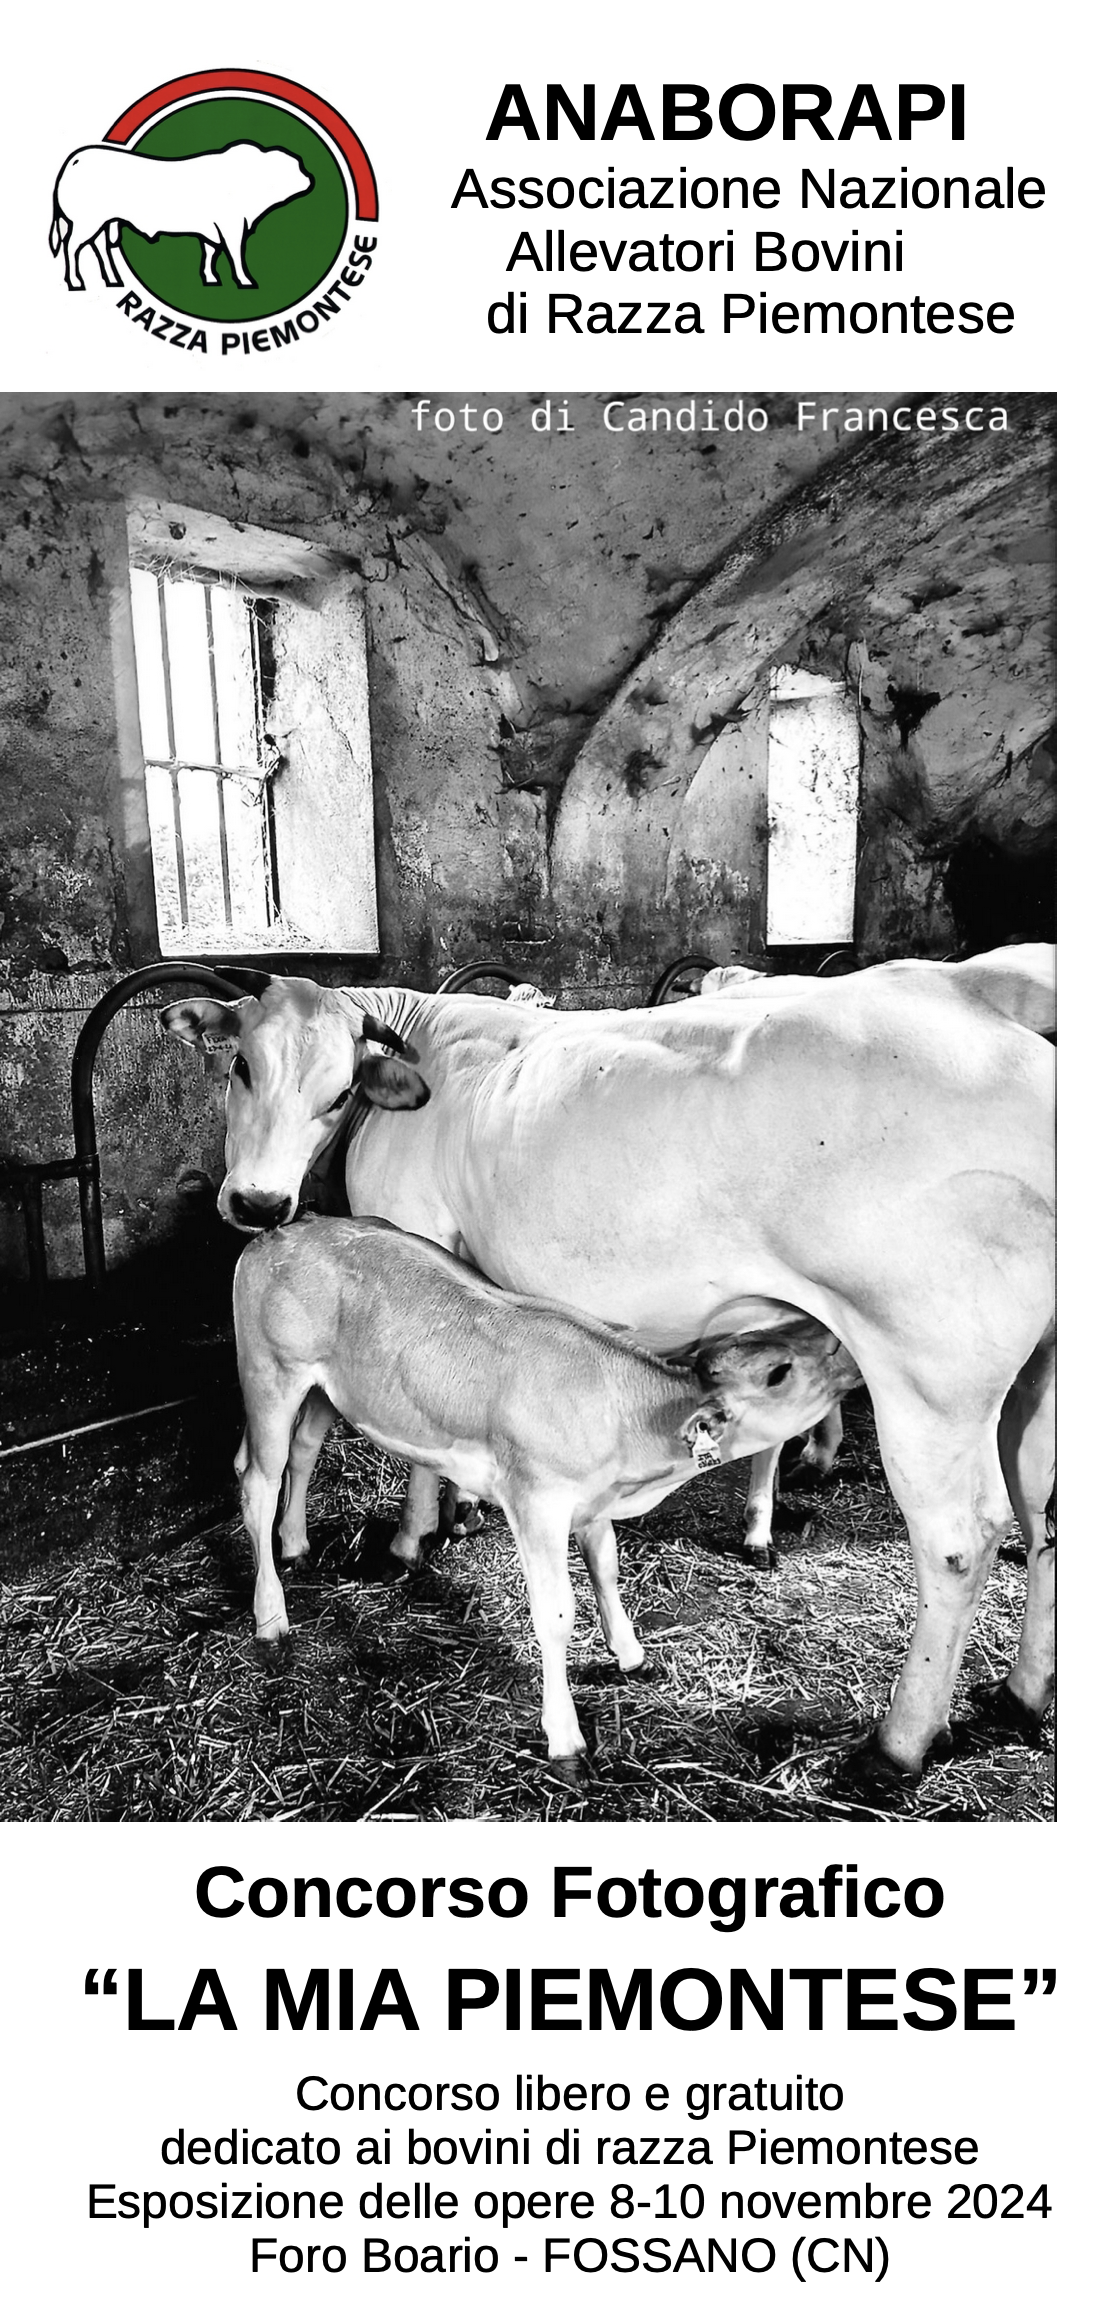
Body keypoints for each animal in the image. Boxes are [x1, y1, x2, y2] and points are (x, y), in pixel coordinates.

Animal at [47, 139, 311, 290]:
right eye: (294, 166)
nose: (310, 178)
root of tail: (77, 157)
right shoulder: (232, 226)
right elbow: (234, 254)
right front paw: (245, 281)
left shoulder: (211, 230)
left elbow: (210, 253)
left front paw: (211, 279)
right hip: (86, 222)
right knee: (72, 246)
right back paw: (75, 281)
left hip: (105, 221)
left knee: (101, 247)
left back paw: (113, 280)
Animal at [230, 1216, 859, 1755]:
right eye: (779, 1373)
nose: (847, 1357)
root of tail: (287, 1230)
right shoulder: (538, 1502)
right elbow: (556, 1614)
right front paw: (565, 1737)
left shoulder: (593, 1503)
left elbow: (607, 1572)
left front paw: (631, 1654)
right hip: (270, 1373)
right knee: (258, 1481)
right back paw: (271, 1618)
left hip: (327, 1389)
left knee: (303, 1450)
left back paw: (297, 1545)